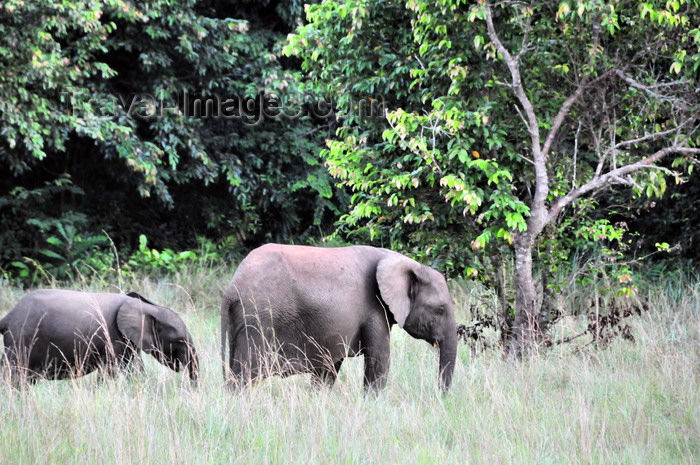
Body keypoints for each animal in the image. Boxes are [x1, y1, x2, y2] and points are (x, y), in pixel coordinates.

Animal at [0, 288, 198, 382]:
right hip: (20, 340)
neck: (146, 307)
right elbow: (114, 371)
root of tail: (8, 316)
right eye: (179, 341)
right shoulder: (114, 336)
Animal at [221, 243, 456, 392]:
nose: (439, 396)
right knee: (244, 374)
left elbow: (329, 368)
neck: (403, 261)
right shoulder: (375, 308)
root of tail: (232, 287)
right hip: (258, 320)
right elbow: (378, 361)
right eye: (439, 310)